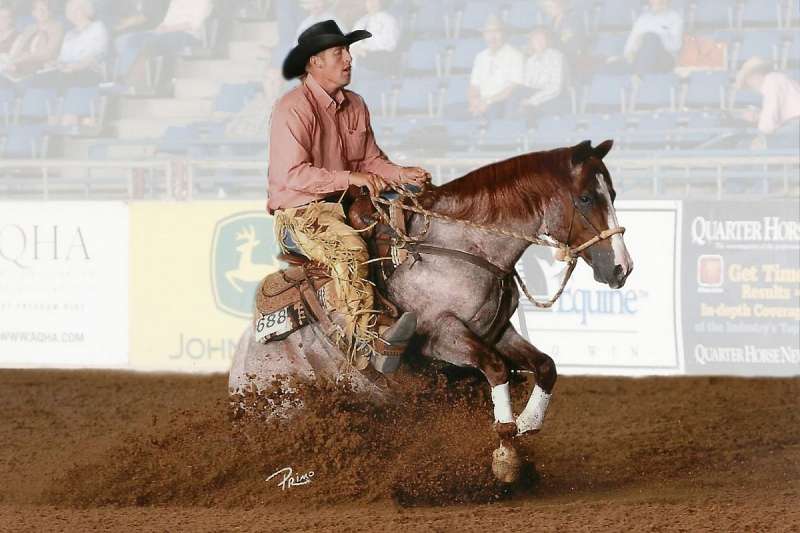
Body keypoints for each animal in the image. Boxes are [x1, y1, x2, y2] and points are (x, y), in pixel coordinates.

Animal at [229, 139, 634, 482]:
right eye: (585, 197)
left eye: (612, 194)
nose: (622, 268)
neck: (463, 247)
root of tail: (238, 374)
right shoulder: (441, 336)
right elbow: (496, 368)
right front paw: (506, 451)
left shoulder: (497, 330)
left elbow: (546, 365)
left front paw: (528, 423)